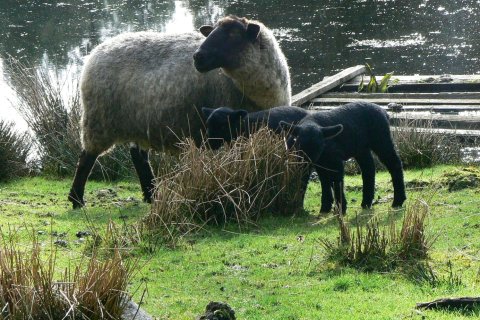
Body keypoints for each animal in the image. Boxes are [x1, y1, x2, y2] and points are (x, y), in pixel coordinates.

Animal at [69, 16, 290, 209]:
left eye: (234, 34)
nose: (198, 57)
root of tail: (97, 51)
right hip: (100, 119)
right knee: (86, 158)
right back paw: (76, 199)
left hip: (138, 122)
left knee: (138, 157)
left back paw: (151, 195)